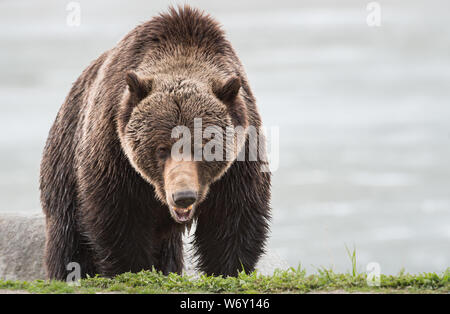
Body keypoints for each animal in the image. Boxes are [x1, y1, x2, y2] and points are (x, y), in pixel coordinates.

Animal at [39, 5, 270, 280]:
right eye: (161, 149)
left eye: (204, 147)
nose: (183, 196)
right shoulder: (114, 153)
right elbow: (119, 220)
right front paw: (132, 269)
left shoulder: (241, 158)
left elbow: (232, 220)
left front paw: (227, 269)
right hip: (65, 170)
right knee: (68, 240)